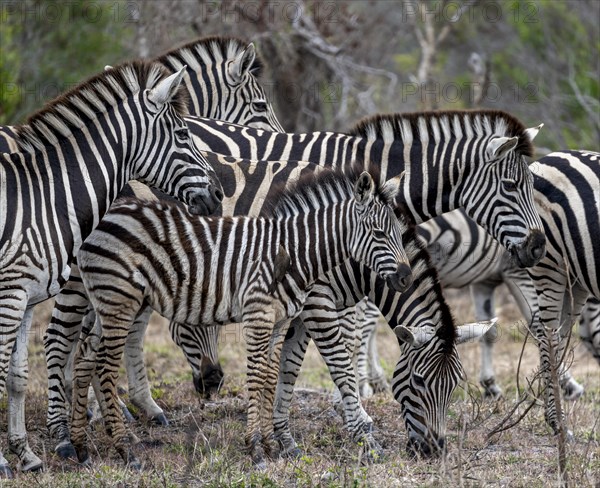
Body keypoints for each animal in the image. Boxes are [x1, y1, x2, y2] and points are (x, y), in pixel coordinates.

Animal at [0, 60, 223, 476]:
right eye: (183, 134)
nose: (218, 195)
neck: (44, 198)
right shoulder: (9, 295)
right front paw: (5, 460)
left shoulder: (26, 298)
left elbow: (17, 376)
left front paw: (25, 454)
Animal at [68, 168, 410, 468]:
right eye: (379, 233)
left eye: (399, 233)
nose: (406, 278)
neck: (294, 253)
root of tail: (105, 216)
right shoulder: (258, 314)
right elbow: (257, 376)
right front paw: (256, 448)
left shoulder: (280, 321)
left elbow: (271, 377)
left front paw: (273, 444)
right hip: (119, 298)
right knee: (104, 365)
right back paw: (125, 450)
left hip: (106, 301)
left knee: (85, 357)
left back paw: (82, 447)